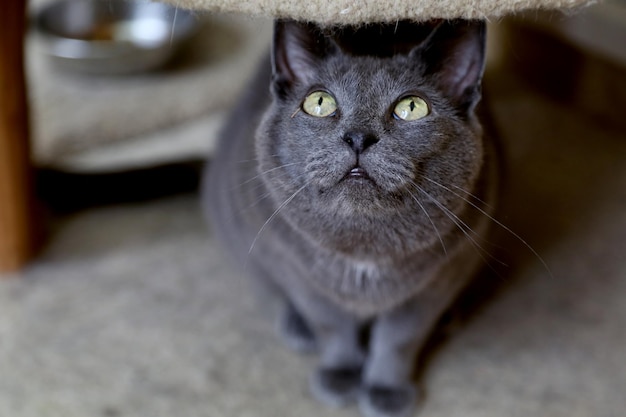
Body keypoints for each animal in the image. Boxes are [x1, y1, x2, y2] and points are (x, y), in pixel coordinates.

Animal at [202, 18, 494, 416]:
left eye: (413, 107)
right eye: (319, 103)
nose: (358, 137)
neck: (363, 248)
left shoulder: (442, 276)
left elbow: (400, 337)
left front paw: (386, 391)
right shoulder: (298, 270)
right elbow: (331, 324)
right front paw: (340, 375)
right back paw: (297, 327)